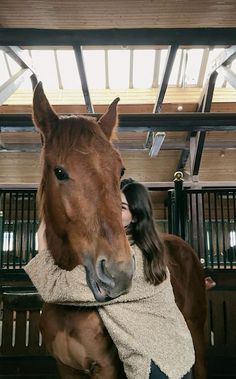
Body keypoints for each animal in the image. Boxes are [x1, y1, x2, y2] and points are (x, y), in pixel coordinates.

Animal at [33, 83, 206, 379]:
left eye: (120, 170)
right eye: (60, 171)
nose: (120, 272)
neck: (69, 309)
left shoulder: (107, 368)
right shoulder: (66, 368)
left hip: (196, 333)